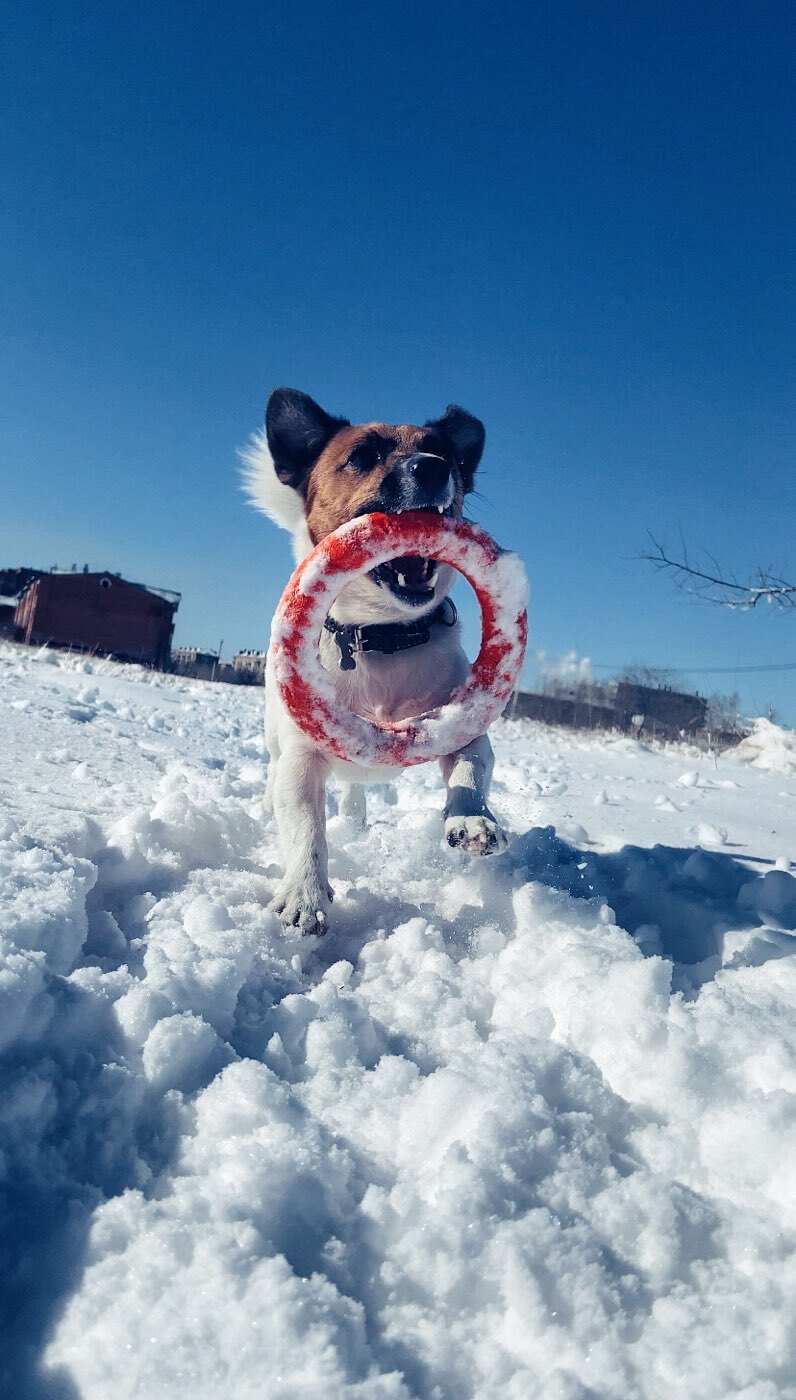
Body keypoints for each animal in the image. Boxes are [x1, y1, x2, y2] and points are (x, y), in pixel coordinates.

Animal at [240, 389, 509, 935]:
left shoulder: (460, 727)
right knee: (277, 779)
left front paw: (473, 821)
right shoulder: (301, 759)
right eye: (362, 456)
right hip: (276, 741)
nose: (432, 467)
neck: (381, 636)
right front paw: (304, 894)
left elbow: (471, 772)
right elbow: (306, 830)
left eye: (445, 454)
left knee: (354, 790)